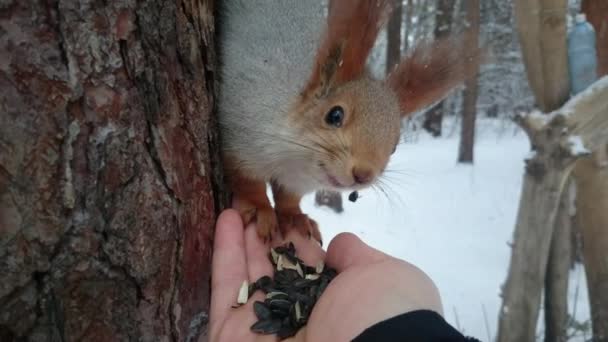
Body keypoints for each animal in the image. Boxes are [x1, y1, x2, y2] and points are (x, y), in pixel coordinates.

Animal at [216, 0, 482, 246]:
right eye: (334, 115)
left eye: (394, 147)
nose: (364, 175)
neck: (295, 163)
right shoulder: (240, 135)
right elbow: (248, 182)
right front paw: (260, 209)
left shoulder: (294, 182)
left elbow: (288, 198)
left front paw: (294, 216)